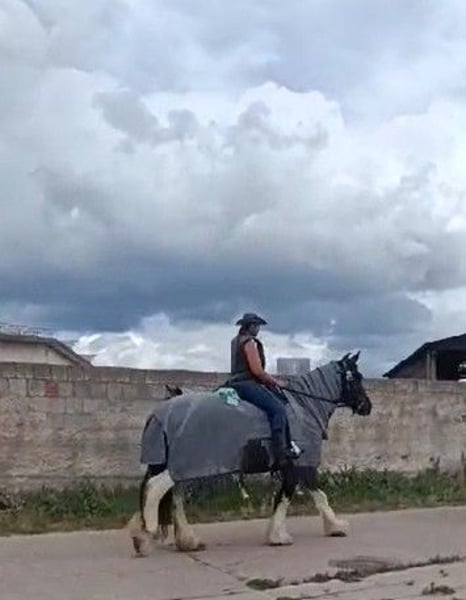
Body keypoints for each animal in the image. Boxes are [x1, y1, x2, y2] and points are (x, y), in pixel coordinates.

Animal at [127, 352, 372, 555]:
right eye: (356, 378)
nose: (367, 406)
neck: (303, 408)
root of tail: (161, 413)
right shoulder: (301, 464)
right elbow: (302, 496)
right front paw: (287, 535)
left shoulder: (294, 467)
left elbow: (300, 496)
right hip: (182, 465)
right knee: (155, 488)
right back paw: (146, 532)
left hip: (179, 467)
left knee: (175, 497)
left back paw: (184, 541)